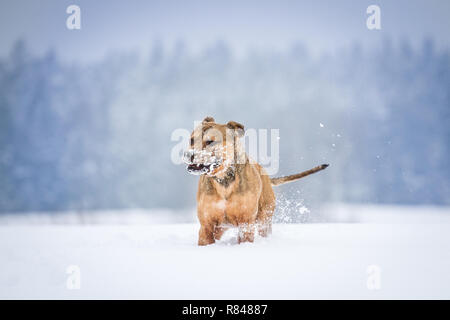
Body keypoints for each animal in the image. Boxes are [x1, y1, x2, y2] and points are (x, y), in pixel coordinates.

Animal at [183, 117, 326, 245]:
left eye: (210, 142)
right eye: (191, 140)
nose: (188, 154)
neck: (224, 180)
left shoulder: (246, 222)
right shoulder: (207, 225)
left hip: (264, 219)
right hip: (220, 228)